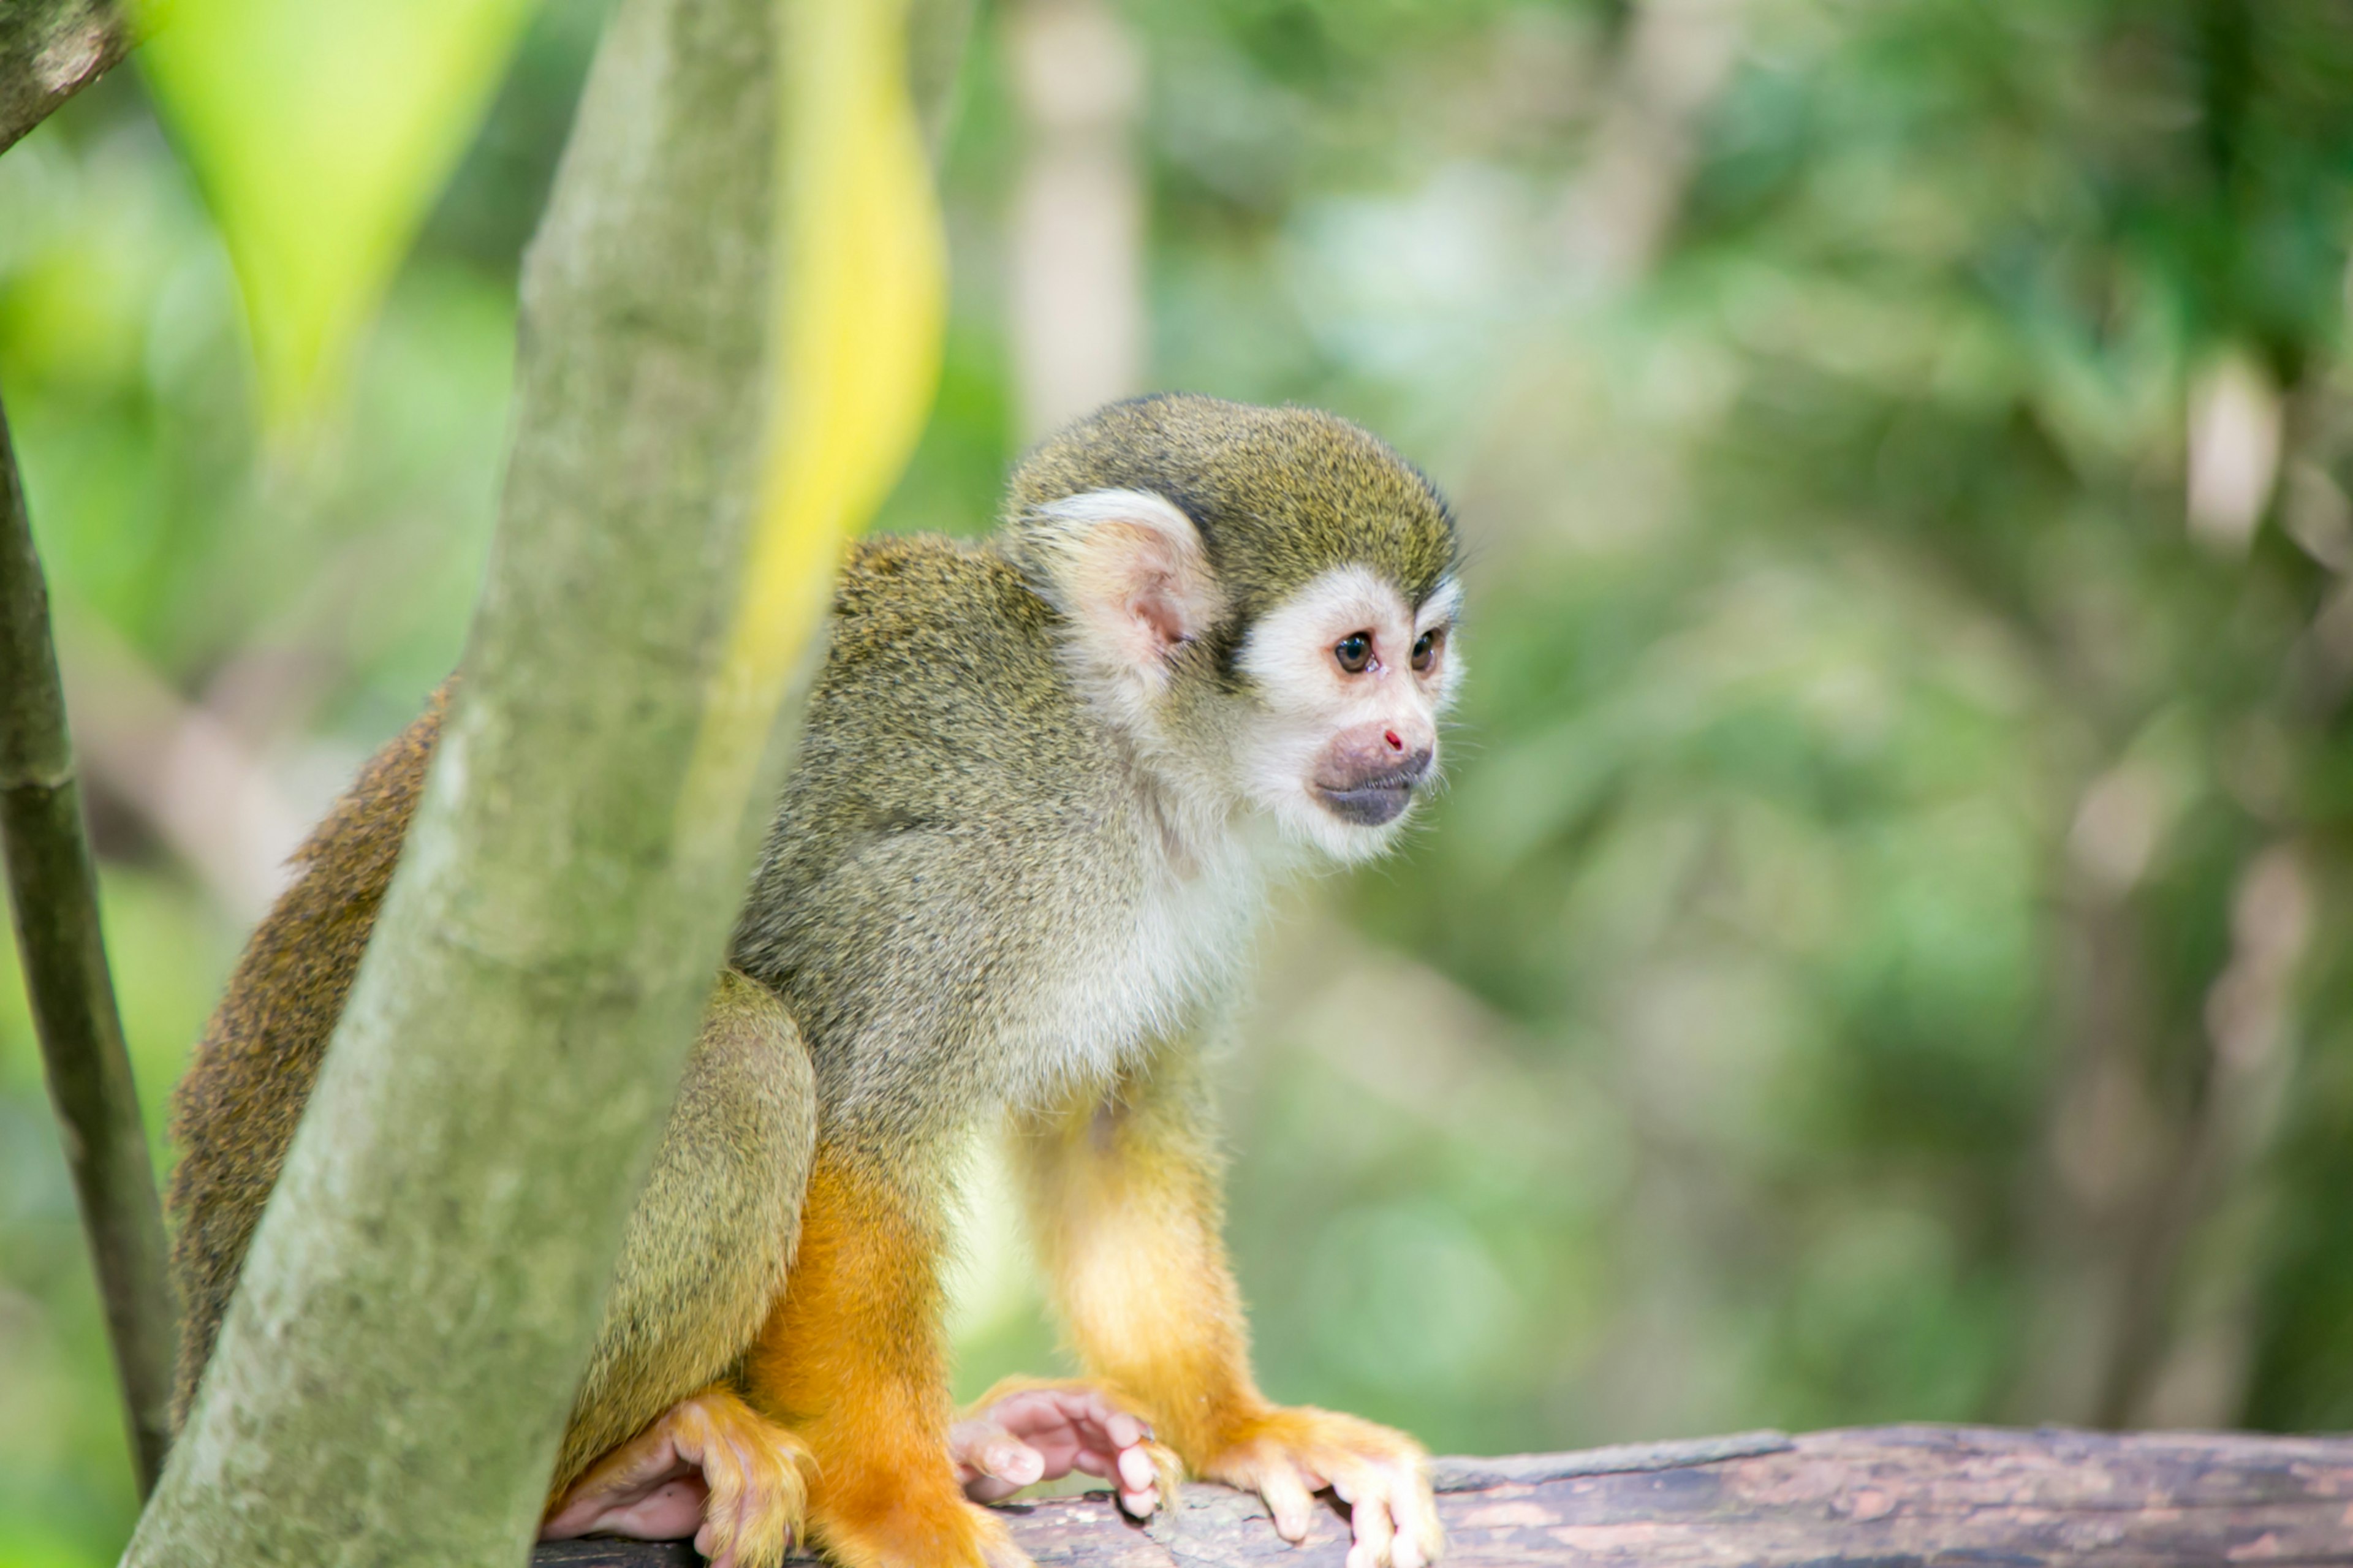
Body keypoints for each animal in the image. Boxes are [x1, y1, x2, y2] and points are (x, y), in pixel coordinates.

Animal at [165, 390, 1449, 1563]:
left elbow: (1106, 1130)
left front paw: (1242, 1427)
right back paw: (607, 1477)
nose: (1416, 740)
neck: (1122, 754)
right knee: (742, 1059)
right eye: (1356, 655)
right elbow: (854, 1146)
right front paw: (905, 1508)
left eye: (1426, 654)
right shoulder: (966, 869)